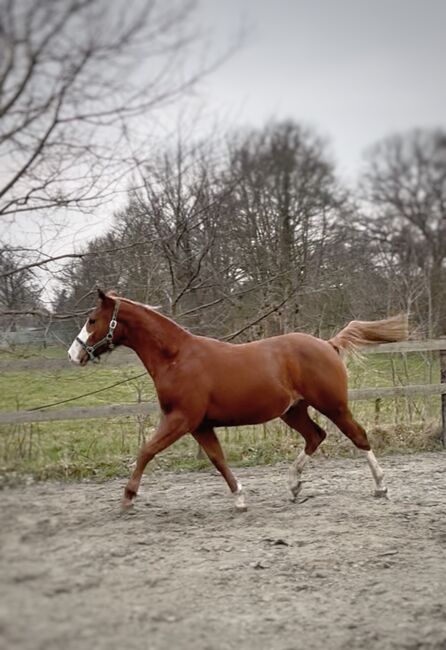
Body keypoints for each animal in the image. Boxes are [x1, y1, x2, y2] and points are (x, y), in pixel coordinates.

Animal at [69, 290, 408, 512]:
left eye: (92, 319)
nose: (74, 354)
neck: (177, 358)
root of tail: (327, 343)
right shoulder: (200, 426)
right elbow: (218, 460)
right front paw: (240, 498)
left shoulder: (180, 419)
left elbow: (146, 451)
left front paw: (127, 497)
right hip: (292, 411)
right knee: (316, 436)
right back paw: (294, 486)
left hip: (333, 405)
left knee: (358, 436)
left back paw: (381, 487)